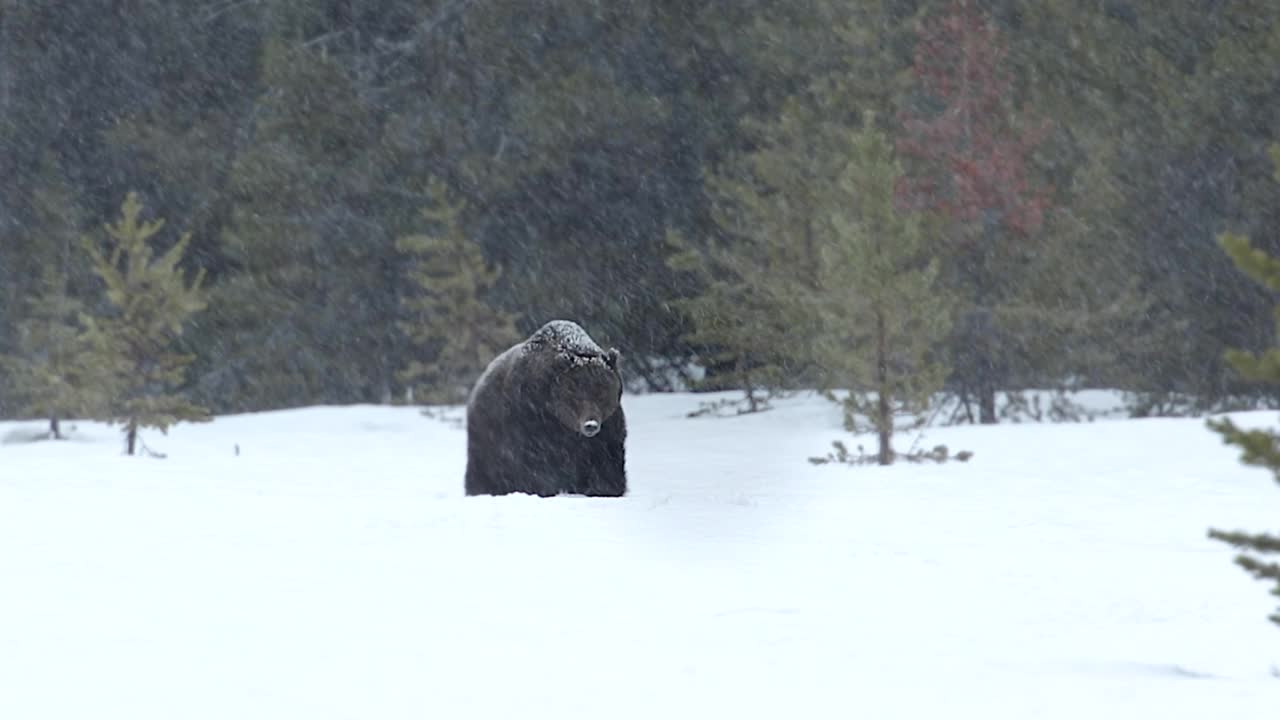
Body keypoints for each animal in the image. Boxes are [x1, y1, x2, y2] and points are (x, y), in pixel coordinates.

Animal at [463, 317, 627, 491]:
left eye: (602, 393)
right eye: (575, 393)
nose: (590, 425)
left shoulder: (607, 430)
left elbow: (606, 465)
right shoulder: (529, 420)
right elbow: (536, 465)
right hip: (487, 437)